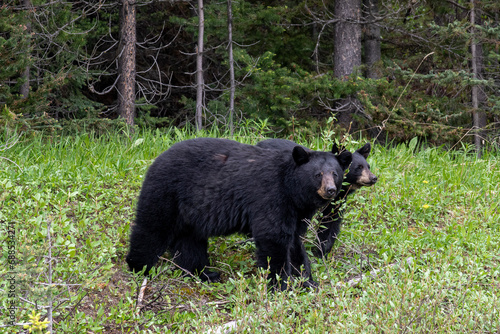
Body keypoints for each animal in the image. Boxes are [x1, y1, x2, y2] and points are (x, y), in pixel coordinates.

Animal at [125, 138, 352, 290]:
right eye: (318, 174)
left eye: (335, 173)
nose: (330, 190)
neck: (291, 189)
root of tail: (157, 159)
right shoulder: (271, 196)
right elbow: (273, 238)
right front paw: (279, 284)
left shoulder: (296, 211)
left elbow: (295, 242)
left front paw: (307, 281)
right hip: (167, 192)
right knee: (152, 228)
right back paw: (139, 266)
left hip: (190, 213)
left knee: (190, 243)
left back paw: (205, 273)